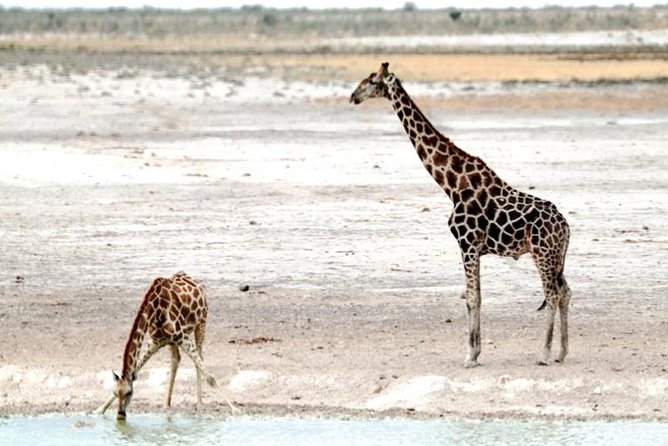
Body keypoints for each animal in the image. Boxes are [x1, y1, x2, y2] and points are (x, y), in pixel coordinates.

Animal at [95, 270, 236, 420]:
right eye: (115, 393)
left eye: (129, 393)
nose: (120, 415)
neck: (156, 310)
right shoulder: (155, 341)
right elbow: (136, 369)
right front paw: (100, 409)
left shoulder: (182, 336)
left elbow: (210, 377)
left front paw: (235, 409)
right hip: (172, 341)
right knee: (176, 360)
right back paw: (166, 403)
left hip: (201, 322)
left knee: (199, 358)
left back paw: (199, 403)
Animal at [348, 62, 572, 368]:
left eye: (371, 81)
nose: (353, 97)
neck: (451, 184)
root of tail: (566, 227)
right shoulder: (475, 249)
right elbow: (477, 295)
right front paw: (476, 352)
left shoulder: (466, 245)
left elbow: (471, 298)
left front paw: (469, 356)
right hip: (556, 256)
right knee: (565, 292)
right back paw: (562, 352)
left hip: (542, 253)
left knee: (551, 294)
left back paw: (545, 353)